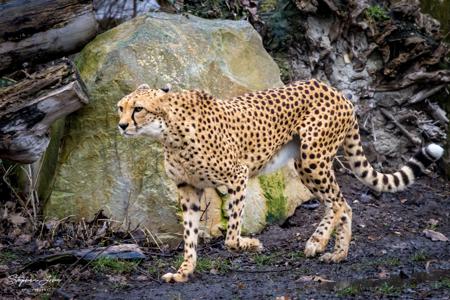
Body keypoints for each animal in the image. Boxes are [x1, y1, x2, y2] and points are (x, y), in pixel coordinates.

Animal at [116, 81, 442, 282]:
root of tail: (335, 90)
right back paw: (330, 249)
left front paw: (251, 244)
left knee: (341, 203)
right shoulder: (188, 189)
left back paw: (326, 246)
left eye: (138, 109)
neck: (168, 131)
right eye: (121, 107)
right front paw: (184, 271)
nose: (120, 125)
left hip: (312, 157)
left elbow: (231, 235)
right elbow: (190, 235)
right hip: (305, 162)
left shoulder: (237, 175)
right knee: (338, 203)